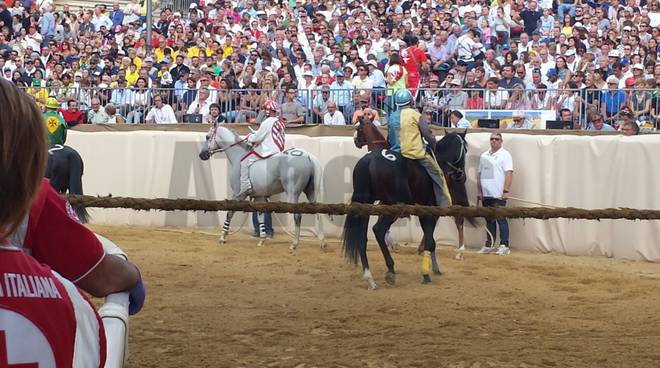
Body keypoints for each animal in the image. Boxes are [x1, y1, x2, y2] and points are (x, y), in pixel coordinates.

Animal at [348, 119, 472, 288]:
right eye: (465, 148)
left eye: (359, 129)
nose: (461, 175)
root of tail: (368, 161)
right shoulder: (429, 208)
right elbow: (430, 240)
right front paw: (426, 273)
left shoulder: (425, 209)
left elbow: (431, 239)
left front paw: (432, 267)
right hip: (392, 206)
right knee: (378, 230)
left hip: (367, 204)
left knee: (362, 236)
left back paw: (370, 277)